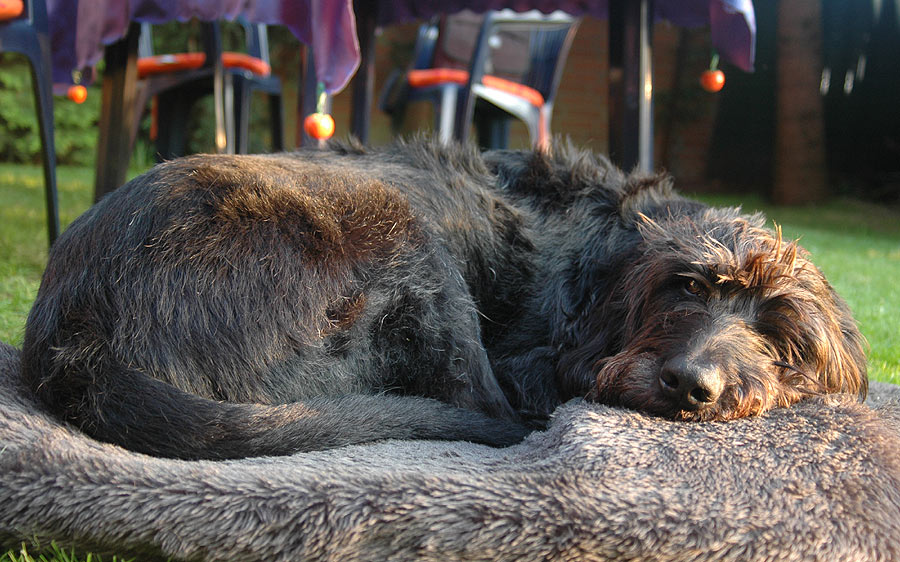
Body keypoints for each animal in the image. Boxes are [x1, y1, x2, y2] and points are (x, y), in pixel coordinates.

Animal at [19, 138, 864, 458]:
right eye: (685, 286)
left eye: (785, 341)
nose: (693, 384)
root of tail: (76, 329)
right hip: (402, 232)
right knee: (487, 409)